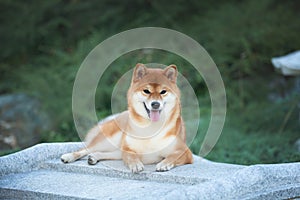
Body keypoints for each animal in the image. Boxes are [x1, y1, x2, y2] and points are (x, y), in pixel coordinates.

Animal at [59, 63, 193, 172]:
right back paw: (69, 156)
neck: (150, 128)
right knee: (85, 149)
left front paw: (163, 164)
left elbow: (172, 156)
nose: (155, 104)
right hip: (109, 139)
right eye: (146, 91)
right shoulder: (128, 148)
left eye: (163, 92)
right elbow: (131, 156)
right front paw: (136, 164)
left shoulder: (185, 152)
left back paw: (94, 157)